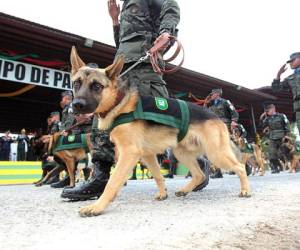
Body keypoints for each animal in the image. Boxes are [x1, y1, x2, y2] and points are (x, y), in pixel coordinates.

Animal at [69, 47, 250, 217]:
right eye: (76, 83)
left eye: (97, 86)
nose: (76, 105)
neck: (118, 103)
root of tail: (214, 116)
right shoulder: (147, 155)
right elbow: (157, 175)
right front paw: (163, 193)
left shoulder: (129, 153)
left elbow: (113, 181)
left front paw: (97, 207)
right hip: (181, 153)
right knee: (199, 174)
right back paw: (186, 189)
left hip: (216, 153)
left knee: (240, 166)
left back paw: (245, 190)